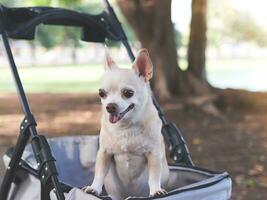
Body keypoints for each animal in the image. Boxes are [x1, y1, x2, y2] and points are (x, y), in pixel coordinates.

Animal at [83, 49, 170, 199]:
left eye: (128, 93)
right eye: (101, 93)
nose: (110, 106)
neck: (126, 127)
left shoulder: (154, 154)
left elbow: (154, 176)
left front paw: (155, 190)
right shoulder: (104, 153)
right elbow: (99, 173)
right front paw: (94, 188)